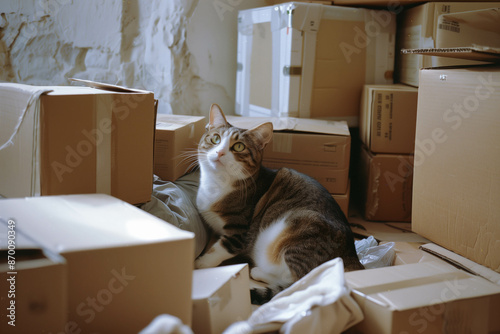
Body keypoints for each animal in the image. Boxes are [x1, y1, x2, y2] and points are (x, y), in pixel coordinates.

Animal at [195, 104, 364, 306]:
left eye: (239, 146)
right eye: (215, 139)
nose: (219, 153)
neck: (217, 184)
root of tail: (352, 256)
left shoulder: (239, 232)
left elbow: (219, 249)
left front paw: (200, 264)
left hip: (297, 230)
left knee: (296, 281)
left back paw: (258, 272)